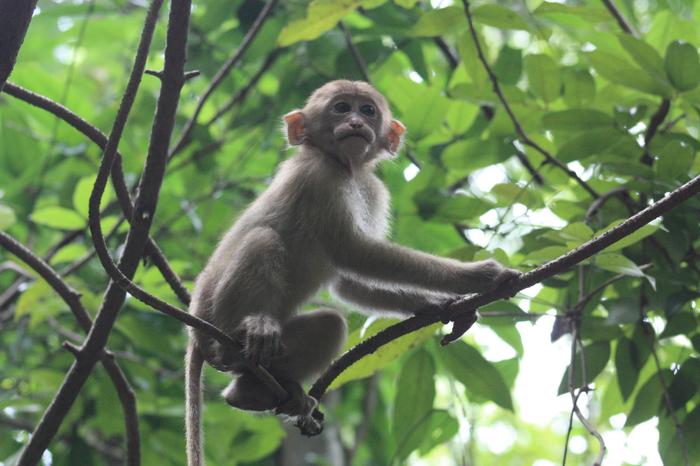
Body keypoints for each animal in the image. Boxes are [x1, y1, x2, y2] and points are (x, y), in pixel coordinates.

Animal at [185, 80, 520, 466]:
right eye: (341, 108)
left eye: (368, 110)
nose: (357, 122)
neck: (344, 167)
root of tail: (197, 331)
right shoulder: (318, 177)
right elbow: (354, 252)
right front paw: (479, 276)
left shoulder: (373, 190)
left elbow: (348, 283)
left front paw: (438, 306)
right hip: (218, 319)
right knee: (264, 240)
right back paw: (252, 330)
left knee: (329, 324)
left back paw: (252, 392)